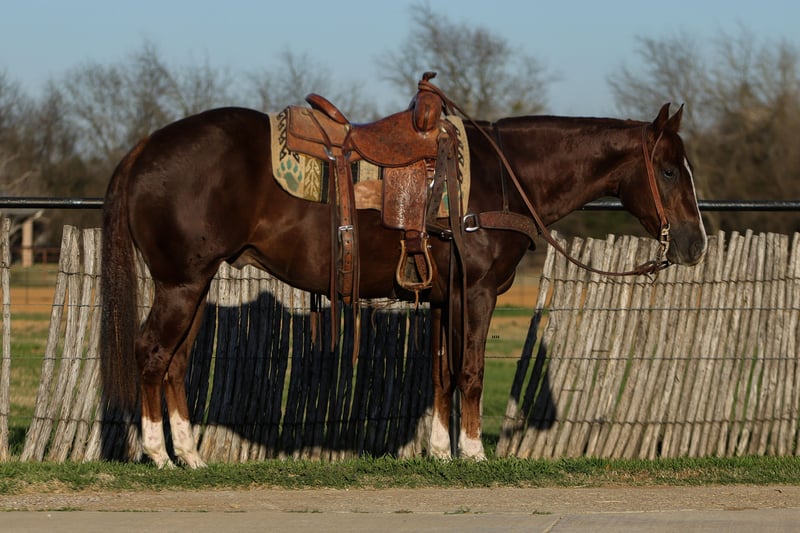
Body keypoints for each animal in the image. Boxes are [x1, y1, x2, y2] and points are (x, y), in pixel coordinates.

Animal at [100, 100, 706, 468]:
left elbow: (440, 373)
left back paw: (191, 456)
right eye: (668, 170)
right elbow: (470, 370)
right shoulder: (476, 293)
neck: (500, 178)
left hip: (194, 286)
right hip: (181, 284)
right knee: (151, 354)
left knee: (175, 362)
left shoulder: (443, 296)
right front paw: (474, 453)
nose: (695, 244)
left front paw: (439, 452)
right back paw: (157, 454)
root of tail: (146, 146)